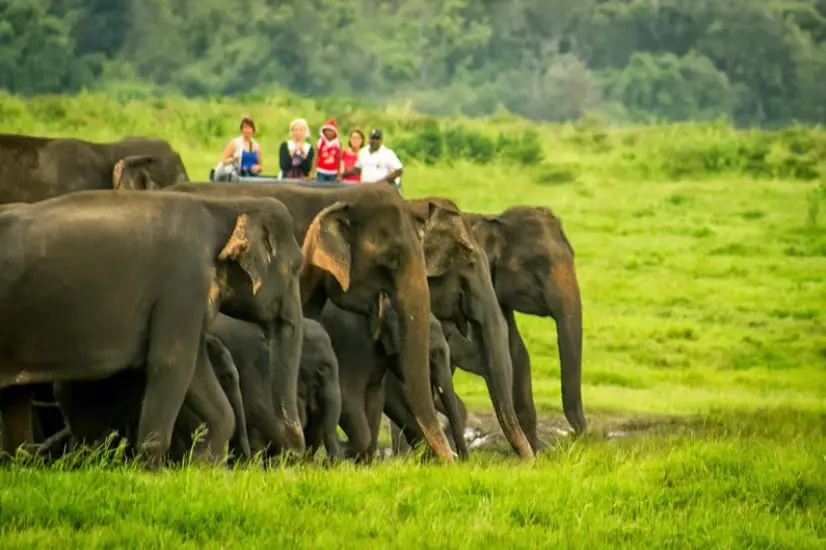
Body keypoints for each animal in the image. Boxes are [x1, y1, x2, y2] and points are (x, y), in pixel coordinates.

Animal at [0, 189, 303, 467]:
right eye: (296, 269)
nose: (292, 456)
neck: (225, 204)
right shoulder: (184, 285)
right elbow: (171, 363)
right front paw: (152, 474)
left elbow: (196, 371)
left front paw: (203, 467)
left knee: (15, 398)